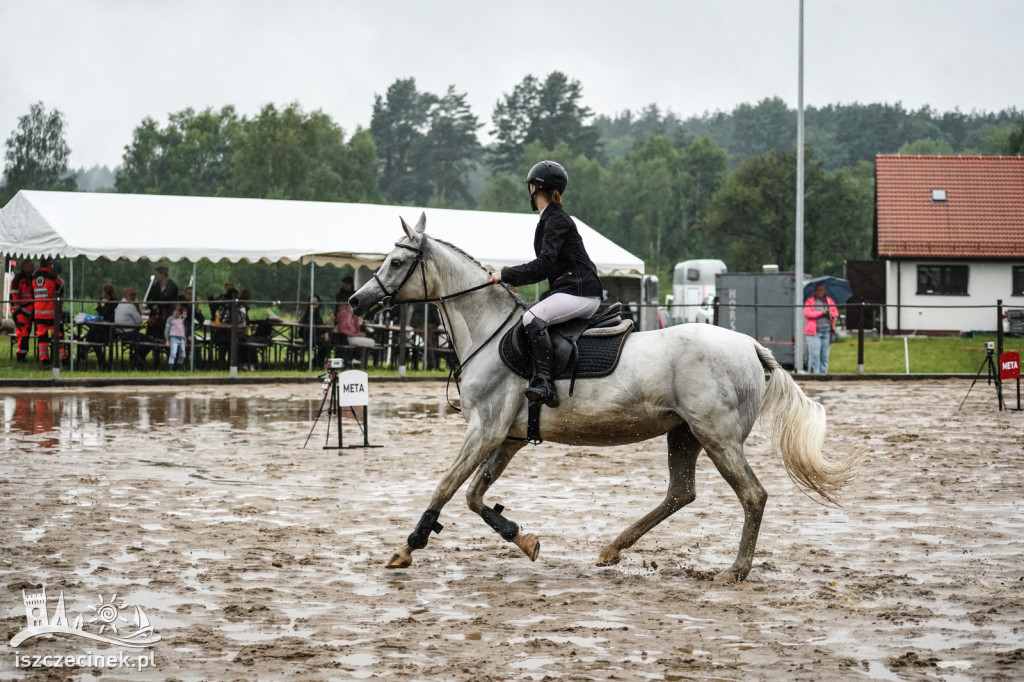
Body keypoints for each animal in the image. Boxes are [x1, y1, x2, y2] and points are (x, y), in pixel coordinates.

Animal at [348, 215, 860, 581]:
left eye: (396, 263)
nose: (356, 302)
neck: (491, 333)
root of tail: (751, 345)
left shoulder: (486, 428)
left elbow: (447, 486)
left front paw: (405, 549)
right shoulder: (509, 436)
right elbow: (475, 496)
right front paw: (523, 538)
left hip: (717, 436)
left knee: (752, 495)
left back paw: (734, 571)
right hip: (685, 434)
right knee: (681, 493)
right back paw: (613, 549)